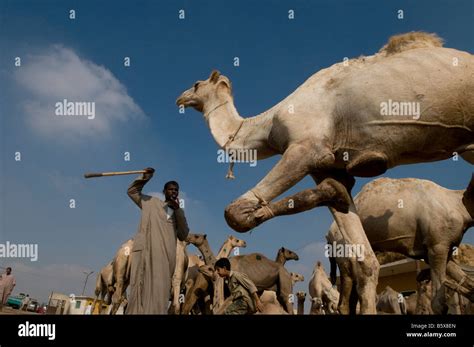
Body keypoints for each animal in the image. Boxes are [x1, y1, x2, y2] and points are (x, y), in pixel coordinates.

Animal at [330, 177, 474, 316]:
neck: (457, 204)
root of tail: (329, 234)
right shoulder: (437, 245)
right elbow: (439, 305)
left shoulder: (441, 248)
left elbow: (468, 282)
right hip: (345, 251)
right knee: (345, 300)